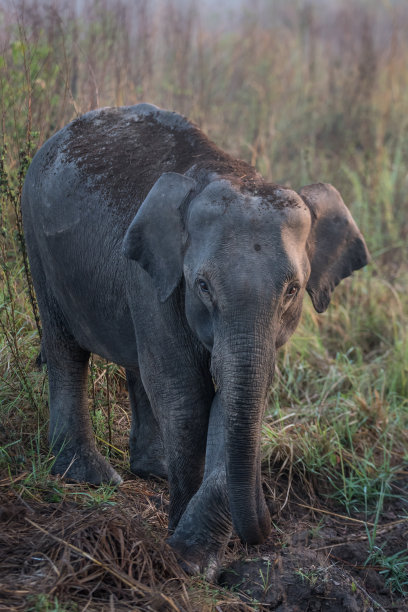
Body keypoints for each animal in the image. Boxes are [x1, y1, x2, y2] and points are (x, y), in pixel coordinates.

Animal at [22, 103, 370, 576]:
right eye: (202, 286)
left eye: (293, 290)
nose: (266, 522)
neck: (233, 171)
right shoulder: (151, 277)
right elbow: (185, 395)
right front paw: (184, 556)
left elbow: (235, 399)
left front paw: (194, 554)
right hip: (38, 243)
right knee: (67, 352)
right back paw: (91, 476)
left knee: (135, 366)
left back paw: (153, 470)